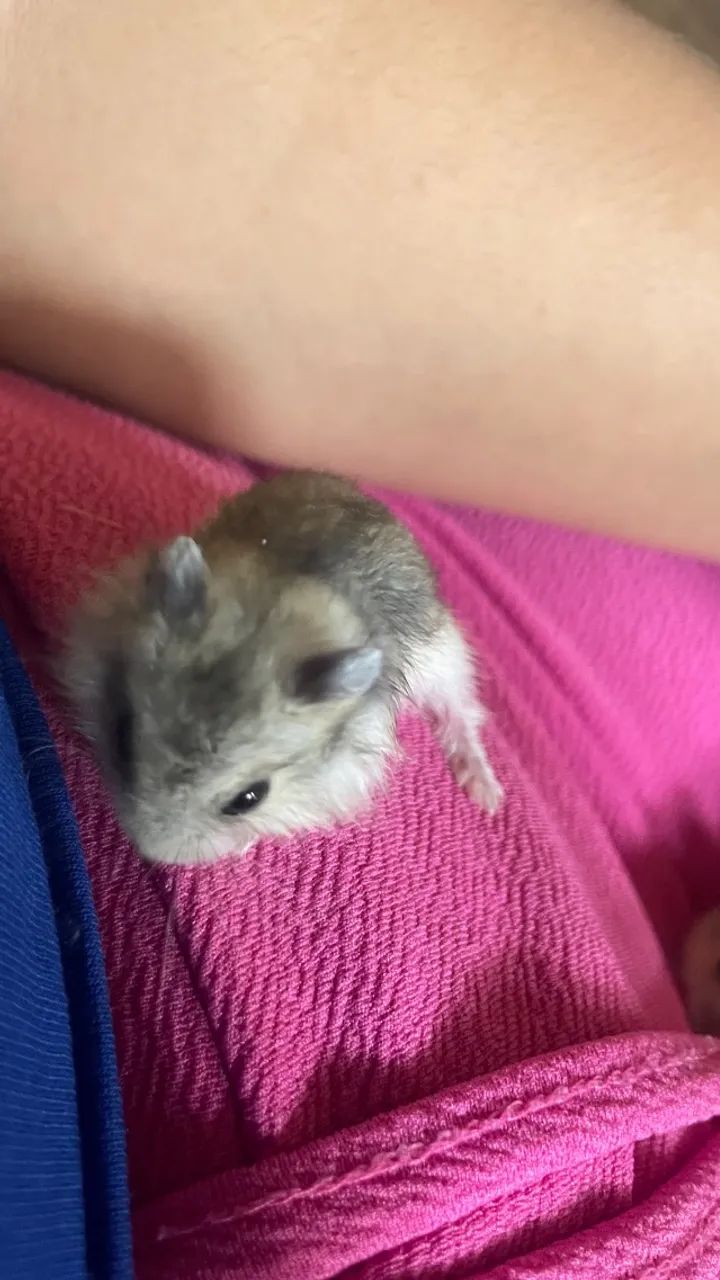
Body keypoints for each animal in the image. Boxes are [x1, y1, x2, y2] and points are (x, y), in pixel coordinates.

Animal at [62, 471, 502, 865]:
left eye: (249, 799)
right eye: (122, 732)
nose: (151, 853)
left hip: (445, 655)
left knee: (461, 714)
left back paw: (488, 794)